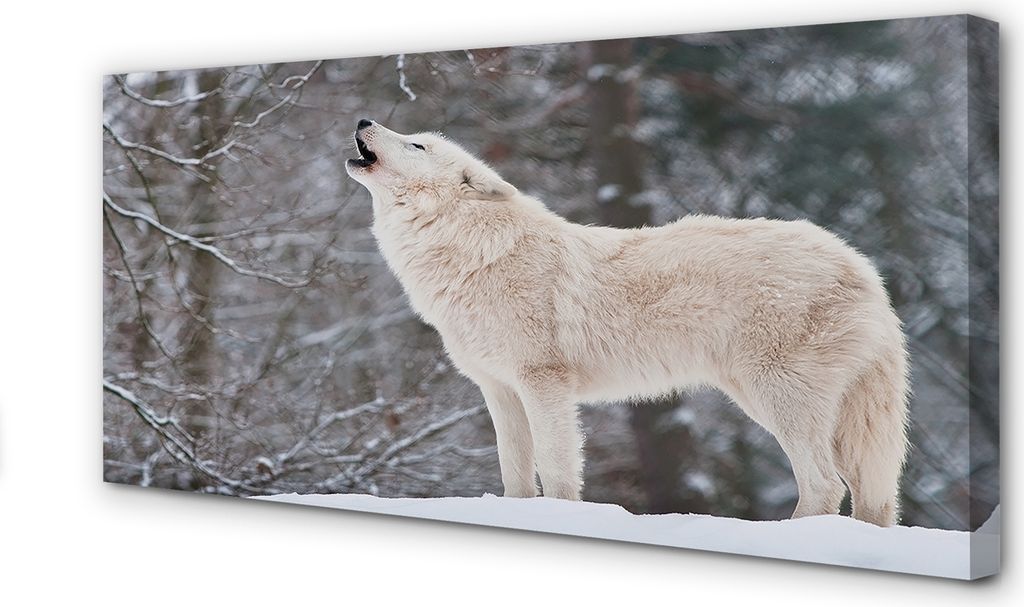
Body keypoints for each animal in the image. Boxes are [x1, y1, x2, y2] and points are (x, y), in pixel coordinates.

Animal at [346, 119, 910, 526]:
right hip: (783, 403)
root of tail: (861, 266)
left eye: (416, 144)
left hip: (775, 395)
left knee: (825, 483)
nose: (364, 119)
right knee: (865, 492)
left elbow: (556, 468)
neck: (472, 250)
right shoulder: (499, 389)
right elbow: (515, 475)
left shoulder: (544, 383)